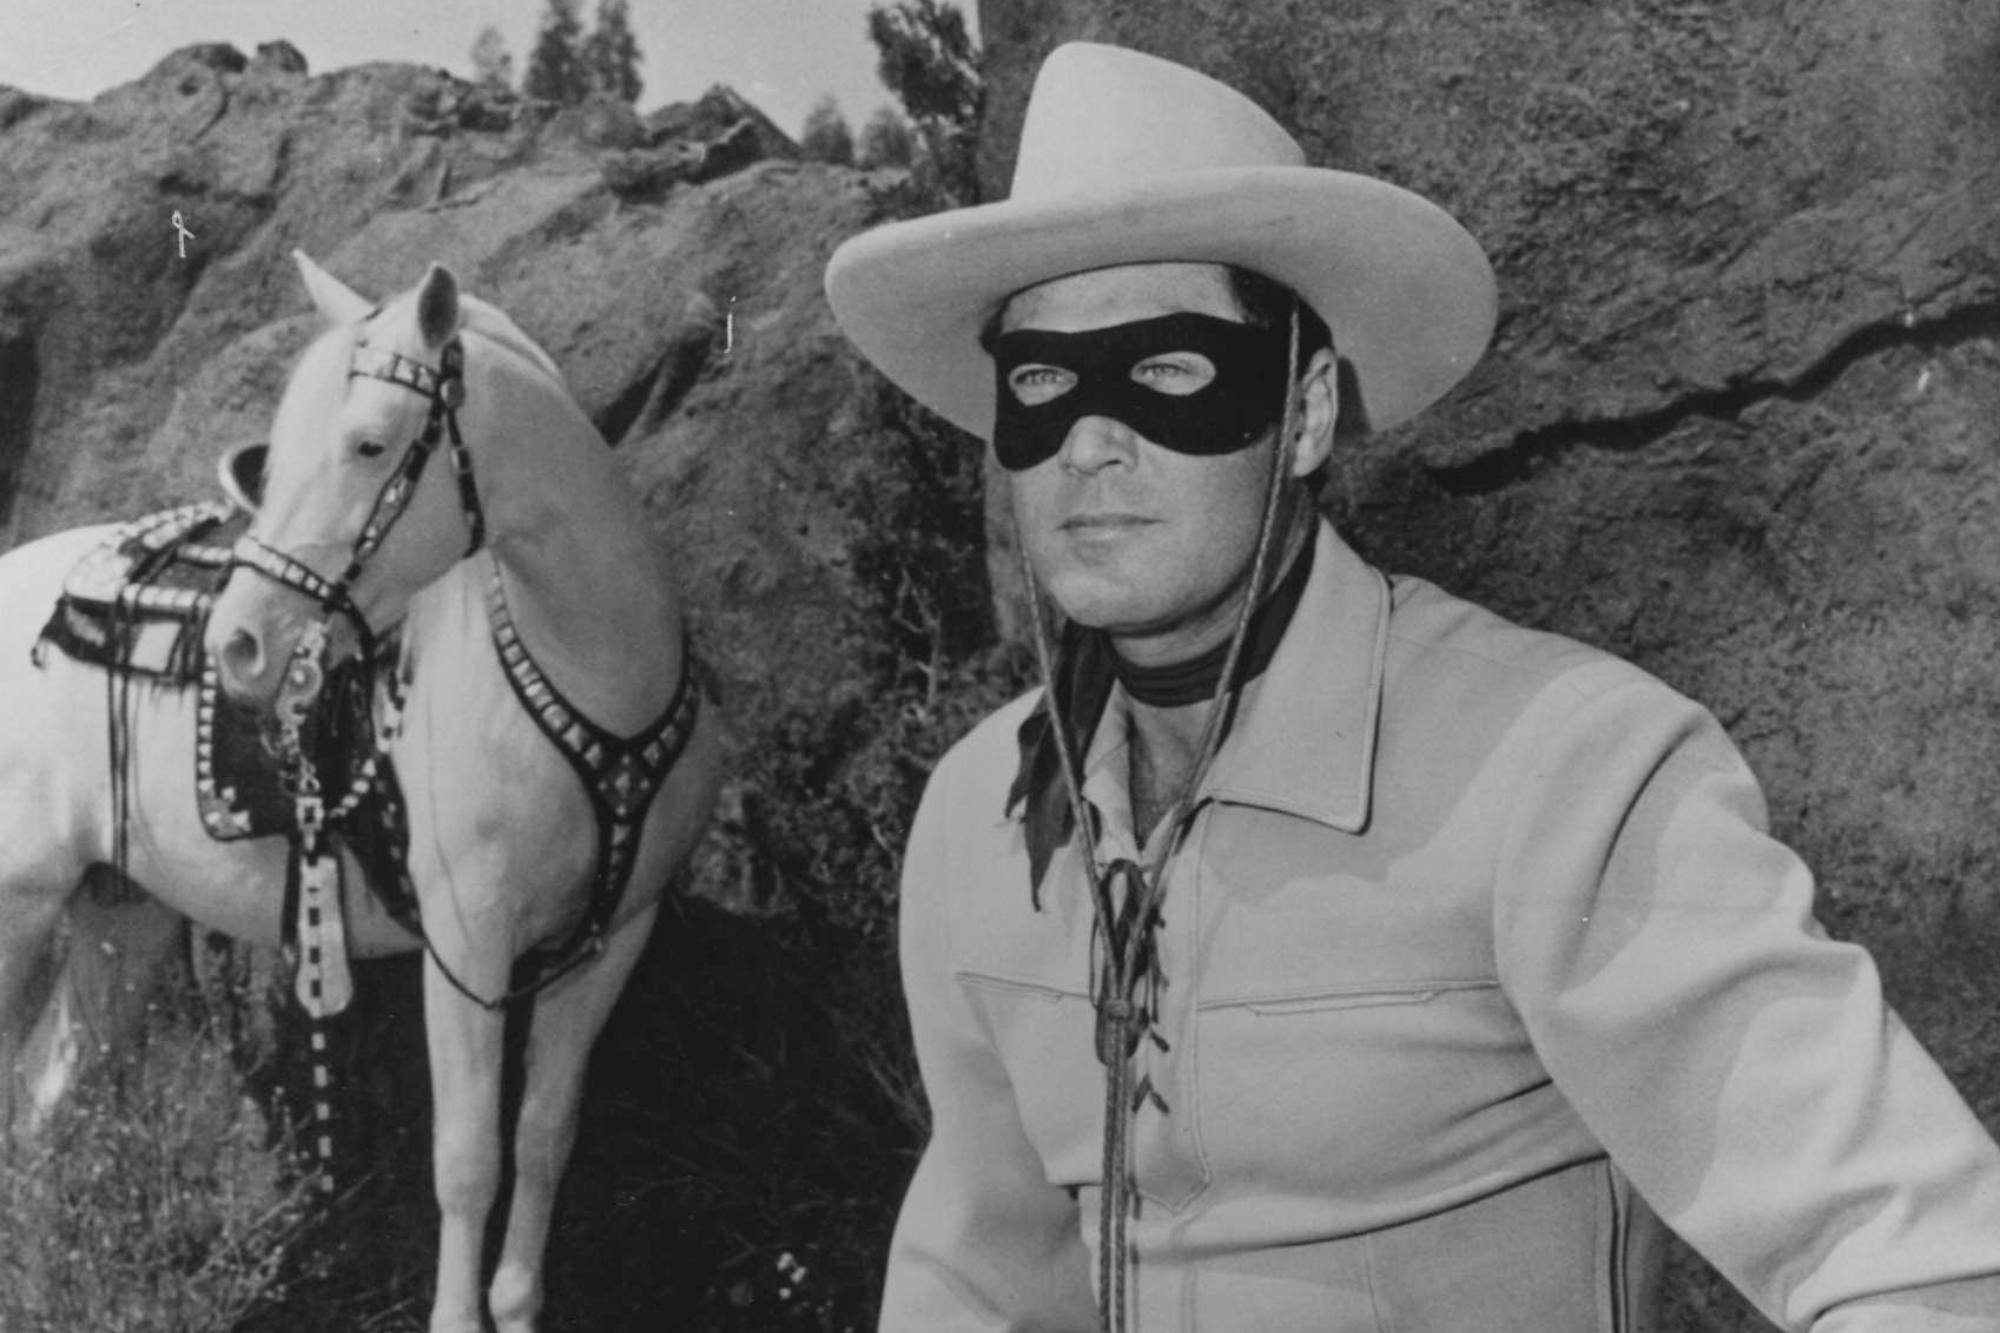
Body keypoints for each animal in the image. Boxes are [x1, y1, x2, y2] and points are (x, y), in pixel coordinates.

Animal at [0, 252, 724, 1328]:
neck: (586, 677)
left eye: (369, 444)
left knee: (46, 1106)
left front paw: (514, 1303)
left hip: (120, 917)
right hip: (19, 907)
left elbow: (544, 1135)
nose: (240, 645)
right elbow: (467, 1159)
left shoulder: (607, 943)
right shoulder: (466, 946)